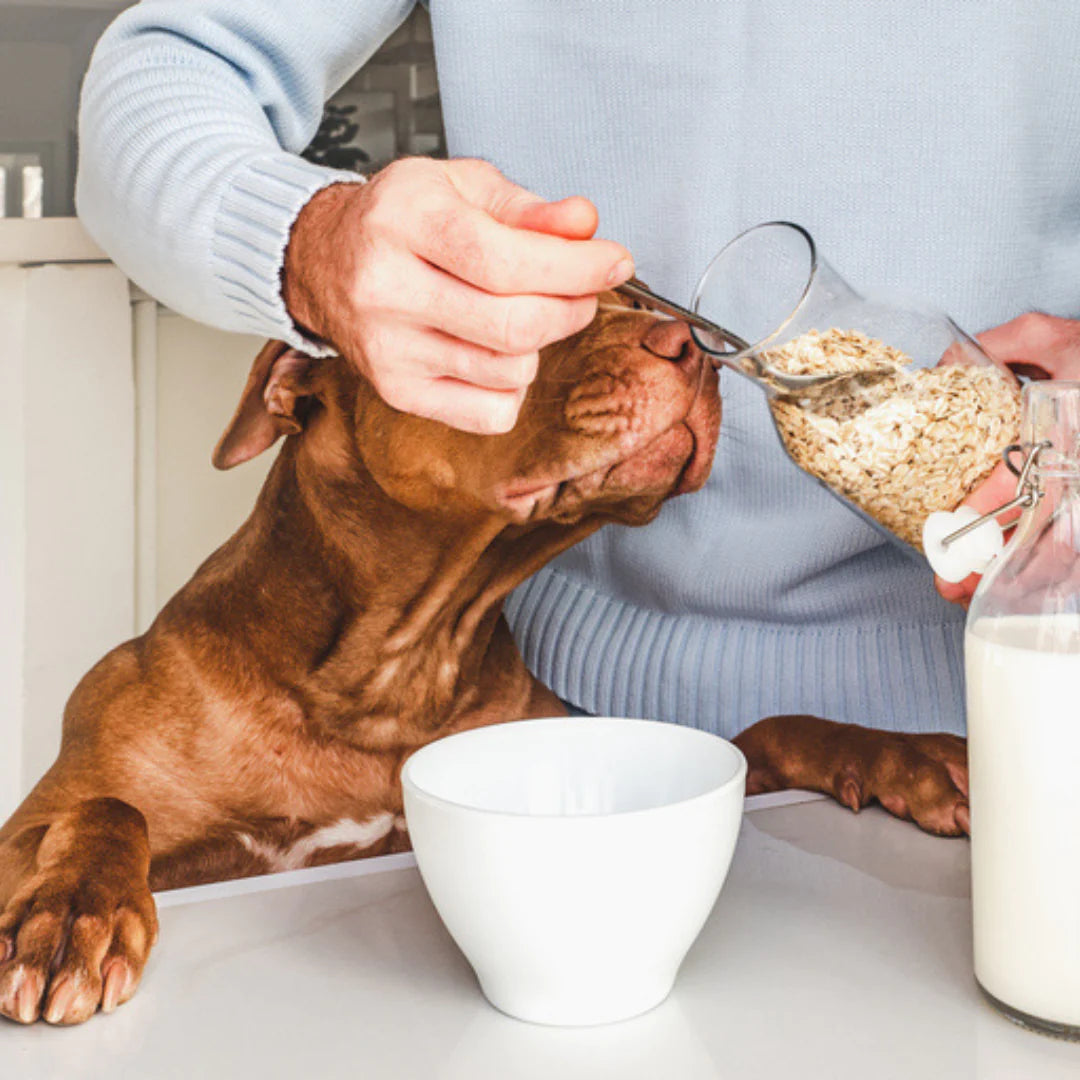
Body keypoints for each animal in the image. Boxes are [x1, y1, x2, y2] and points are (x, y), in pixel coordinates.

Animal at [0, 295, 967, 1019]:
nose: (696, 348)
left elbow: (771, 727)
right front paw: (74, 912)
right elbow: (105, 808)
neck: (391, 676)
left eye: (645, 296)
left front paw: (910, 756)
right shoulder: (47, 821)